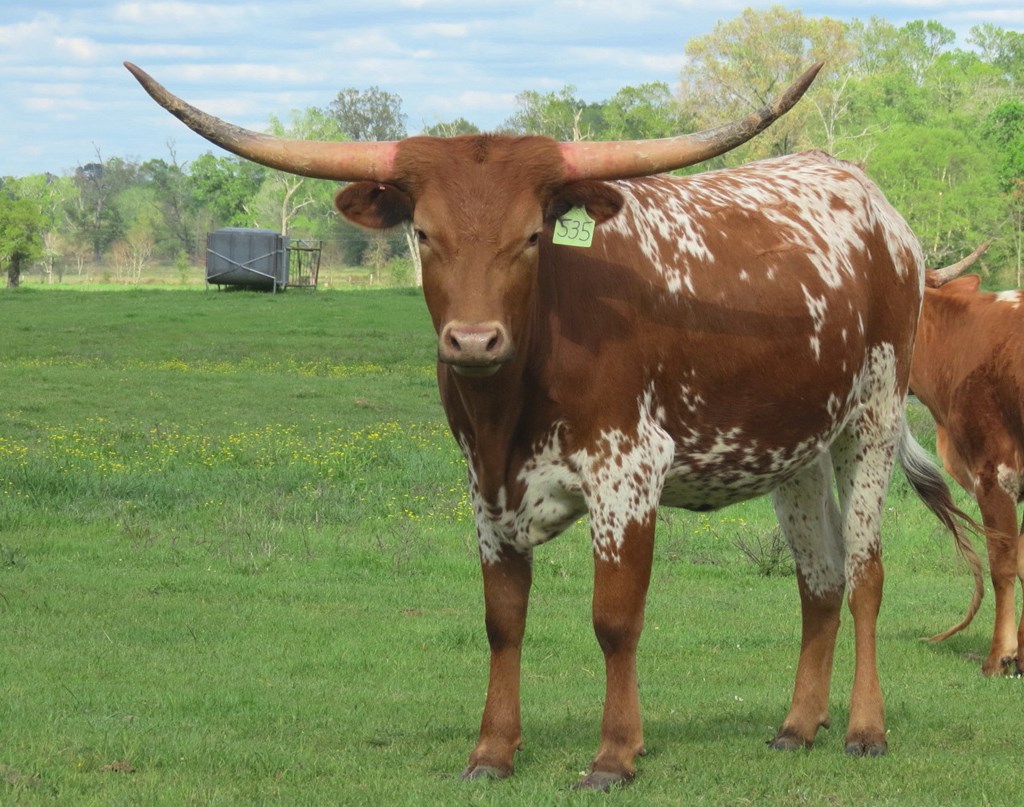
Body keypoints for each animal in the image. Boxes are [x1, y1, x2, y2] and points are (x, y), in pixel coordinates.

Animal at [125, 61, 982, 788]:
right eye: (424, 234)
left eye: (532, 236)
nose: (473, 341)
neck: (515, 394)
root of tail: (873, 204)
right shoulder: (485, 486)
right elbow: (502, 620)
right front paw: (492, 750)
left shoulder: (628, 474)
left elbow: (614, 619)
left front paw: (614, 754)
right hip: (795, 452)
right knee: (820, 578)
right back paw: (798, 725)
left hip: (870, 423)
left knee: (866, 572)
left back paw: (864, 729)